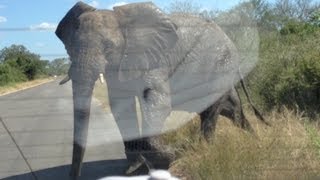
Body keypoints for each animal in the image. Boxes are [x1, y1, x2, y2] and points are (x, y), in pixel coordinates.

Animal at [56, 1, 258, 179]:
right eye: (70, 48)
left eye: (109, 47)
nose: (74, 176)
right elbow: (121, 107)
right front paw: (134, 168)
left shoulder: (156, 60)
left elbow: (157, 104)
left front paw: (168, 158)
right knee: (232, 110)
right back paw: (254, 138)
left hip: (221, 66)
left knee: (211, 112)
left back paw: (206, 150)